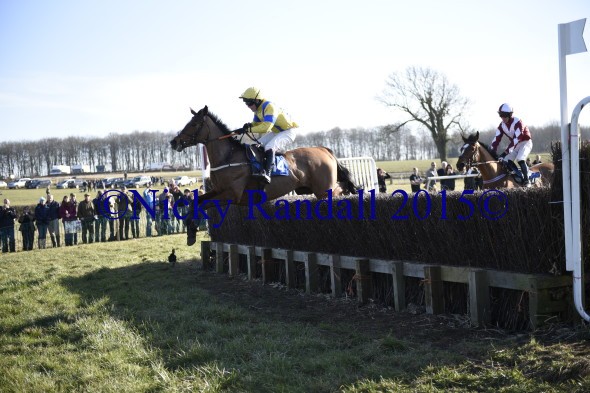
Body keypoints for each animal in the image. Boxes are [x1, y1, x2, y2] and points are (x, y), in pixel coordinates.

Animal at [169, 105, 358, 243]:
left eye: (194, 124)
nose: (174, 142)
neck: (228, 156)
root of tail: (324, 150)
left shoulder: (232, 195)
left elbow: (201, 205)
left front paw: (192, 228)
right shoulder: (218, 190)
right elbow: (195, 202)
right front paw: (190, 231)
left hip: (323, 189)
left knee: (339, 189)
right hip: (308, 189)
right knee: (340, 187)